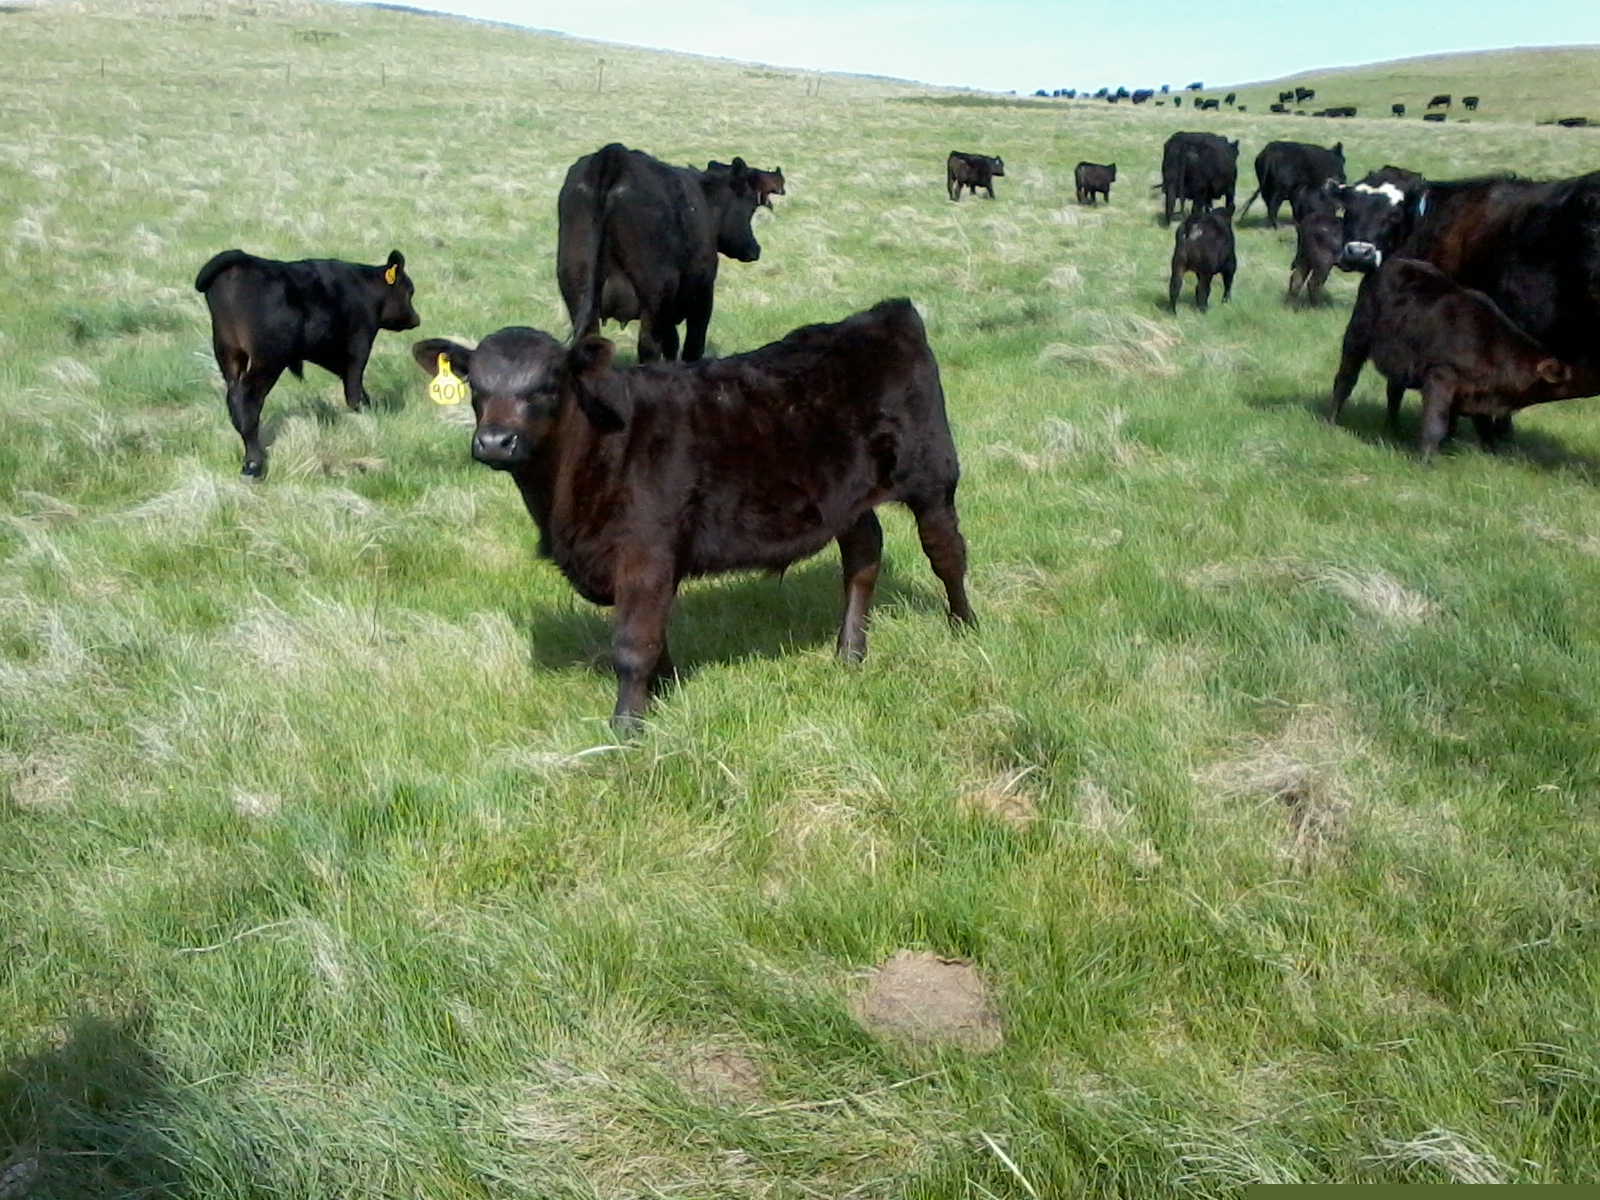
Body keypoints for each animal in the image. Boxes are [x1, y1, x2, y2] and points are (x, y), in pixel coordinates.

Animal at [194, 248, 419, 477]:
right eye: (409, 291)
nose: (416, 319)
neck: (365, 287)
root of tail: (242, 260)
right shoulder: (359, 344)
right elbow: (354, 388)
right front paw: (369, 412)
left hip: (228, 354)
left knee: (233, 398)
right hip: (268, 358)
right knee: (247, 400)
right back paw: (254, 463)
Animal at [409, 299, 975, 730]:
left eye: (547, 385)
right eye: (477, 387)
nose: (494, 442)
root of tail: (883, 314)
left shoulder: (646, 552)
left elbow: (633, 643)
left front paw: (626, 728)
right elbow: (654, 636)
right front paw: (666, 691)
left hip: (932, 472)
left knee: (945, 552)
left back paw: (964, 627)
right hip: (846, 495)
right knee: (863, 555)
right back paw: (850, 652)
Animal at [558, 143, 760, 365]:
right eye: (751, 206)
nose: (754, 249)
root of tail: (615, 154)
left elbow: (671, 343)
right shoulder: (703, 294)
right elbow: (692, 345)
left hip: (576, 286)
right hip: (656, 292)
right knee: (649, 346)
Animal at [1363, 259, 1574, 459]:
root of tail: (1395, 262)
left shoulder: (1477, 391)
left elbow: (1482, 425)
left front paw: (1491, 451)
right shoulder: (1440, 377)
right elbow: (1436, 422)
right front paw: (1425, 460)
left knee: (1394, 393)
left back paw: (1393, 429)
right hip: (1359, 334)